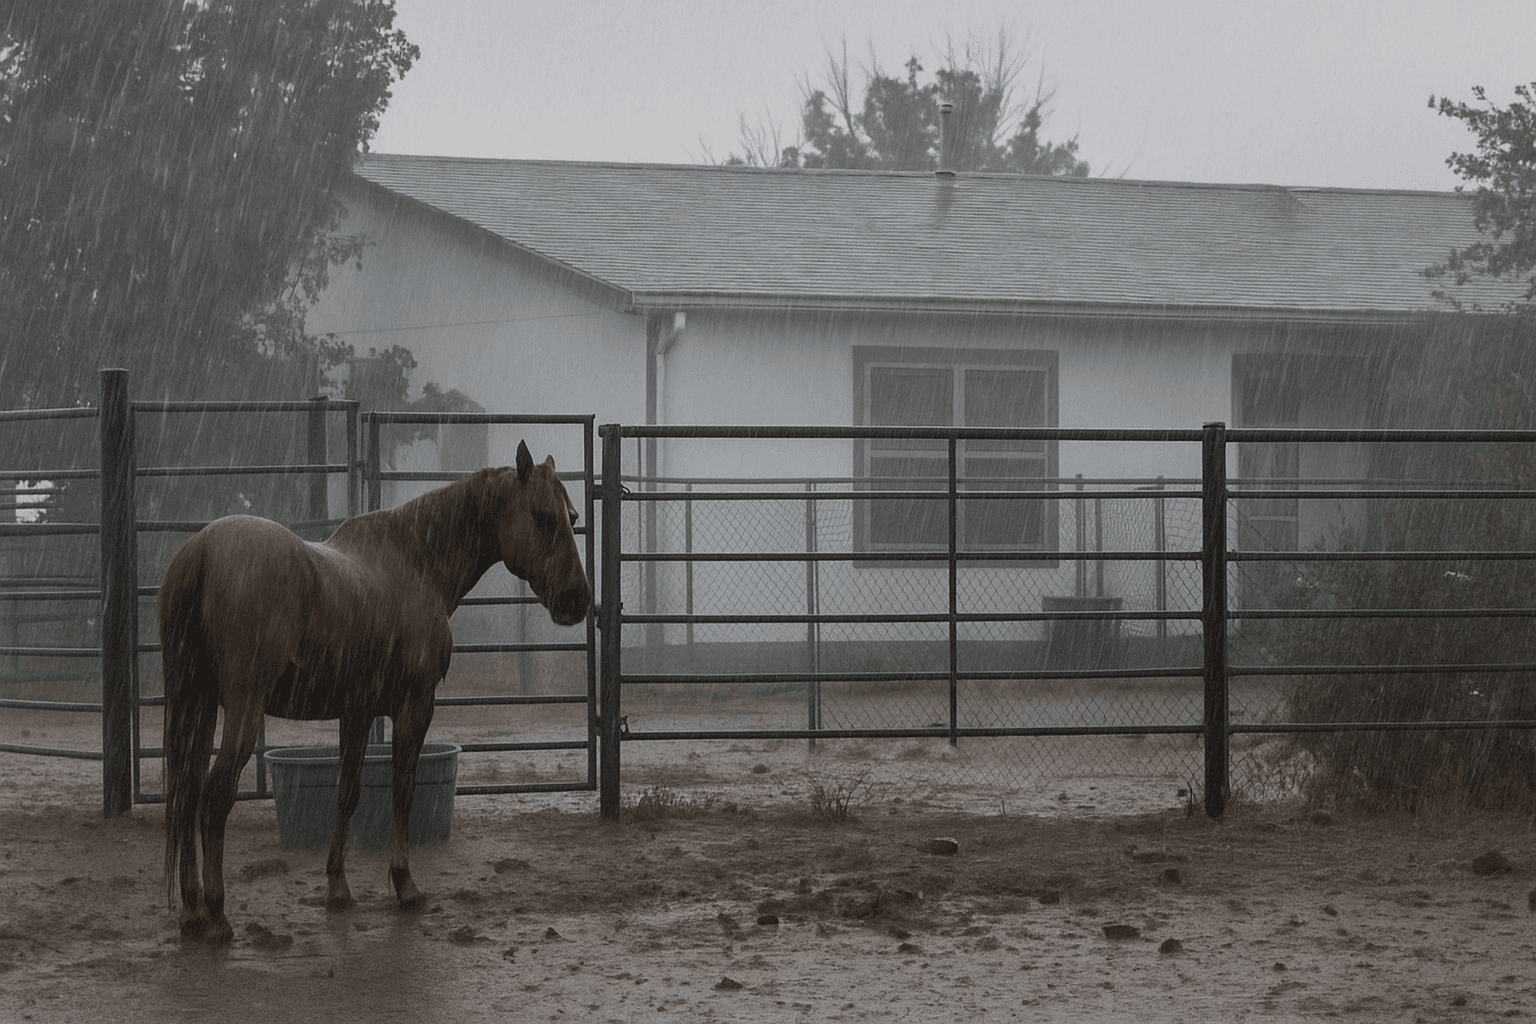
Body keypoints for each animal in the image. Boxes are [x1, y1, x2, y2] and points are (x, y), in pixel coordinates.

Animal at [159, 440, 591, 944]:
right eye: (542, 516)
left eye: (572, 516)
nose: (577, 599)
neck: (416, 562)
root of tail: (203, 551)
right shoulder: (414, 705)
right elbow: (402, 788)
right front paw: (405, 884)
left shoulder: (357, 710)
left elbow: (347, 793)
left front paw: (338, 888)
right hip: (243, 708)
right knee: (213, 797)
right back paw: (217, 913)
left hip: (197, 704)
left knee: (186, 793)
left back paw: (191, 912)